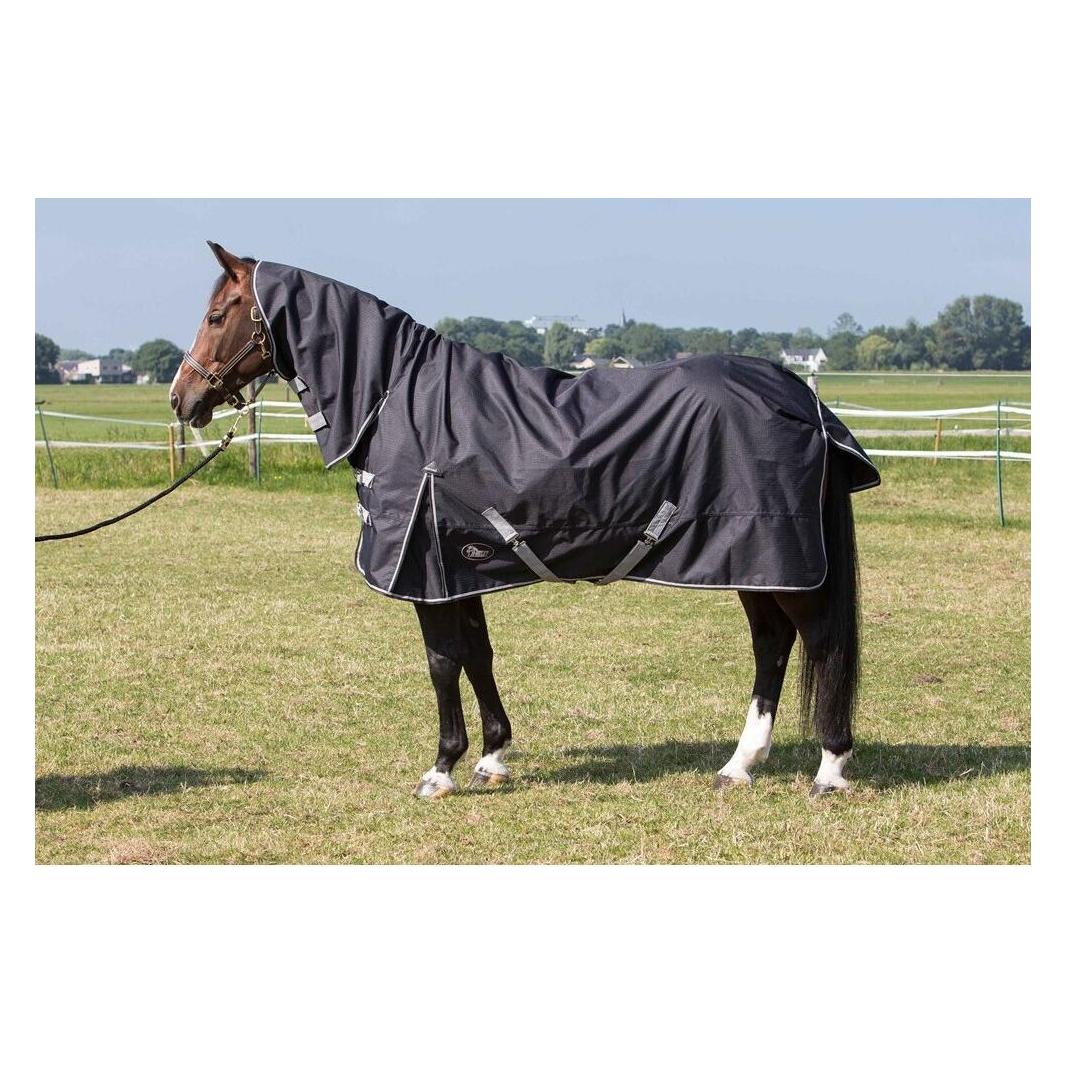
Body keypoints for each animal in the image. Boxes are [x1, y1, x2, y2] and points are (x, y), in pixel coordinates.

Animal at [171, 242, 879, 800]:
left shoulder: (425, 571)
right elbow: (477, 655)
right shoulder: (459, 568)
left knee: (819, 643)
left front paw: (441, 770)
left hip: (780, 560)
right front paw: (492, 757)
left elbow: (442, 662)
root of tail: (804, 399)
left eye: (215, 315)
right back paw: (739, 765)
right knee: (772, 645)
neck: (397, 397)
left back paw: (830, 769)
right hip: (755, 564)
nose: (182, 398)